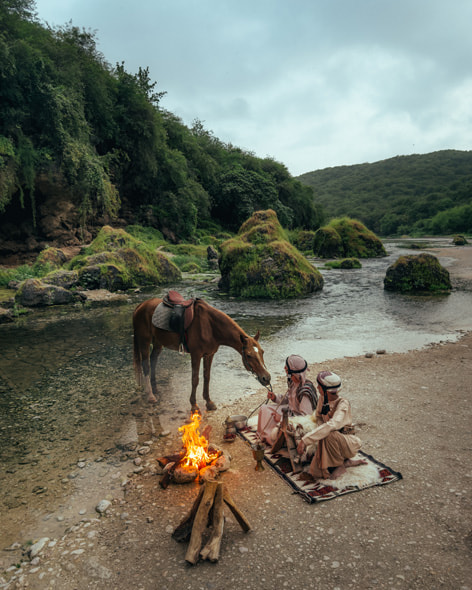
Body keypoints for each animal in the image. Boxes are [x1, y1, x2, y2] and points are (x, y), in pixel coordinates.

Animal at [135, 298, 272, 414]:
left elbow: (207, 377)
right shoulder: (196, 355)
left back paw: (155, 389)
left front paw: (209, 402)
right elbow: (195, 379)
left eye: (262, 352)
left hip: (158, 342)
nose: (266, 378)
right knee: (146, 365)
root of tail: (141, 305)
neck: (210, 326)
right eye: (248, 355)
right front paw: (194, 405)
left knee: (153, 360)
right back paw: (151, 396)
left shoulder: (209, 354)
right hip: (144, 341)